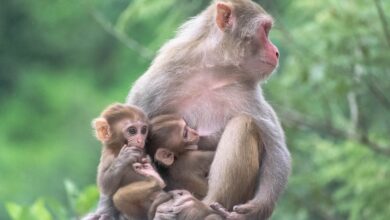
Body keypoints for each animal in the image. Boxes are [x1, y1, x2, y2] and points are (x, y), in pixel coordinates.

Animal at [126, 0, 290, 218]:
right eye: (265, 30)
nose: (277, 51)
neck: (213, 73)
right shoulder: (158, 81)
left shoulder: (247, 93)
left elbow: (276, 151)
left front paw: (257, 208)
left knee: (243, 125)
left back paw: (203, 207)